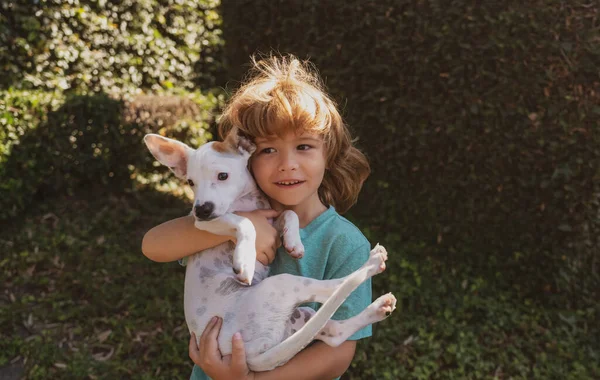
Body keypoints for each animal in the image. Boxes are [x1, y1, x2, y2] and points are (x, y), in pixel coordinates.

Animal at [144, 131, 396, 372]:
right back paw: (372, 264)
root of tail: (251, 357)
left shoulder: (269, 218)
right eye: (190, 182)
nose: (201, 209)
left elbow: (289, 214)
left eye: (222, 176)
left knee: (334, 333)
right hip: (283, 286)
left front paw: (294, 242)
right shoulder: (203, 224)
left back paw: (378, 308)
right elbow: (245, 221)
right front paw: (245, 260)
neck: (245, 200)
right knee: (332, 290)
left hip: (301, 316)